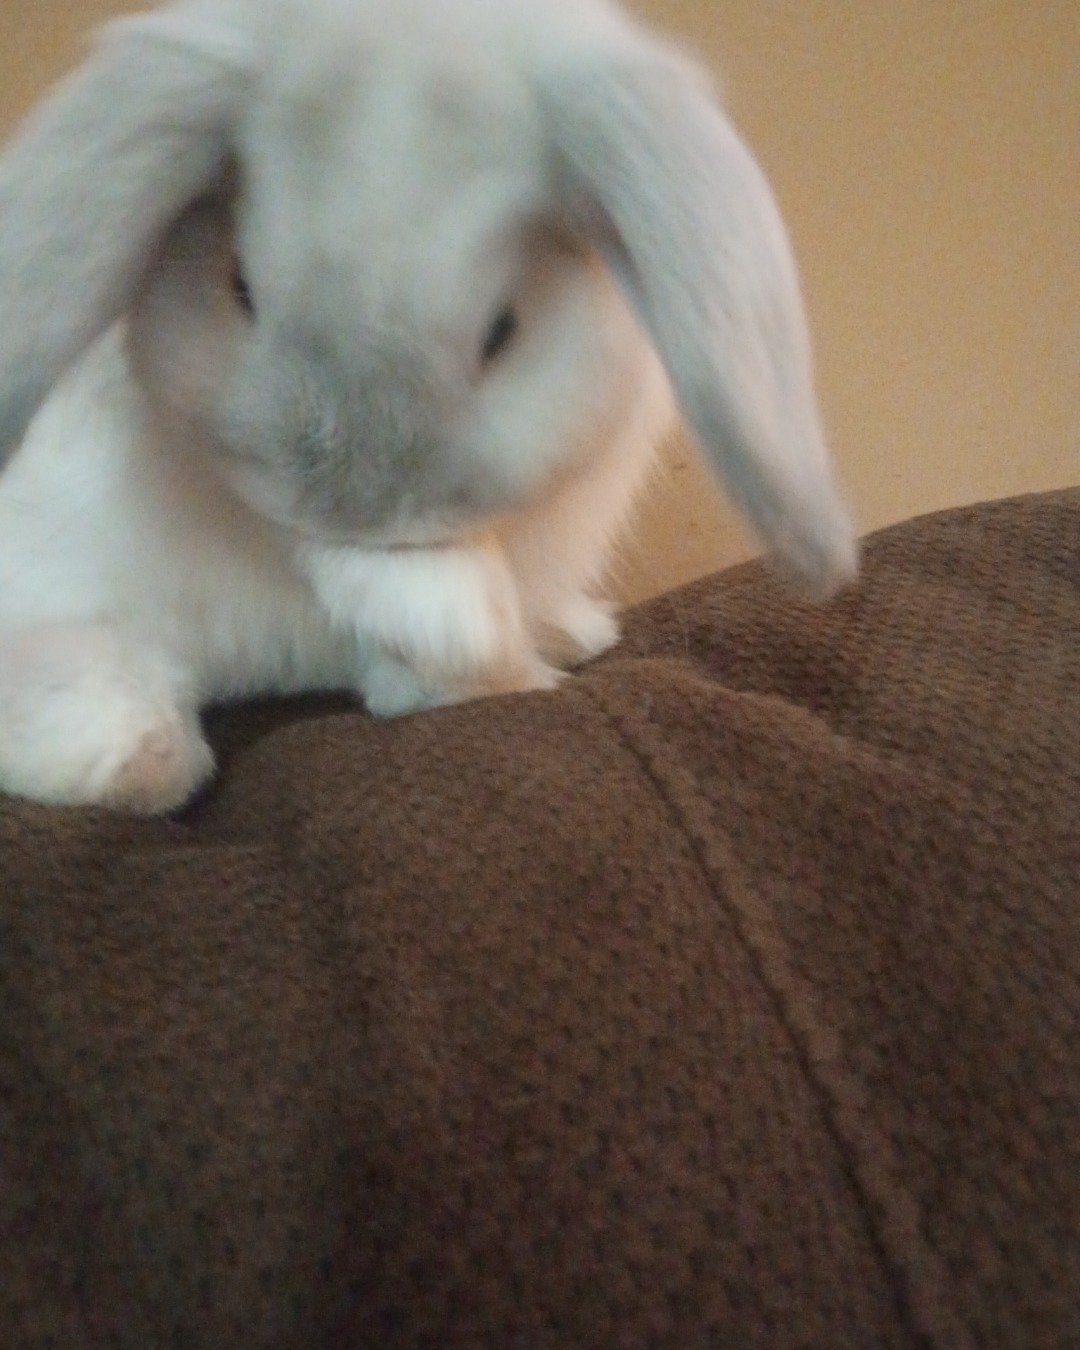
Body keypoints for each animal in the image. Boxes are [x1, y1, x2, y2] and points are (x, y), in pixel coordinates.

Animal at [0, 0, 856, 814]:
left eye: (503, 330)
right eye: (240, 287)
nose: (360, 512)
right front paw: (462, 629)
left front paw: (509, 645)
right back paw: (144, 756)